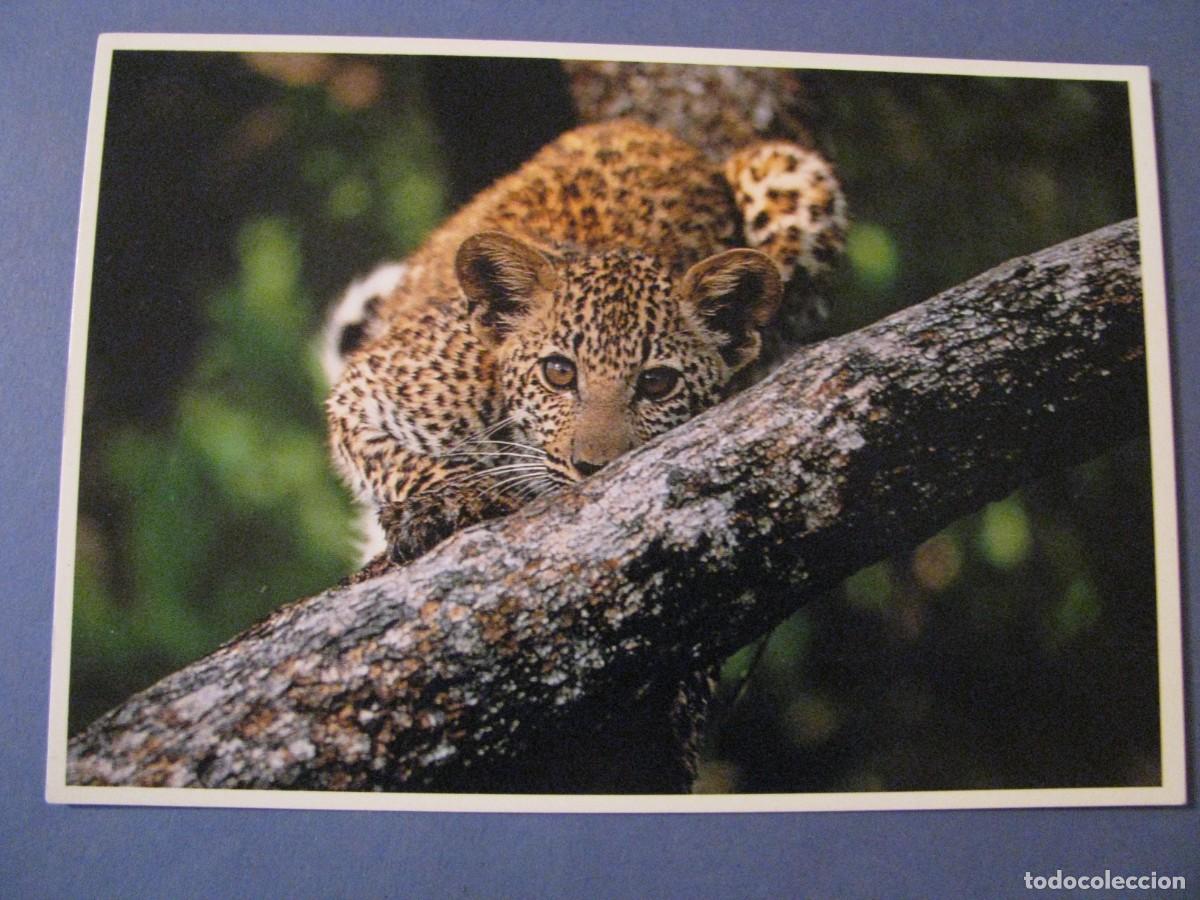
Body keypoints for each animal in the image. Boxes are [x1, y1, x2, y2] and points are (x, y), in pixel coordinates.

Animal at [324, 118, 846, 566]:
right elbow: (402, 461)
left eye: (657, 383)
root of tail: (650, 130)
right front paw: (452, 498)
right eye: (558, 373)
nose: (593, 468)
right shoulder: (364, 393)